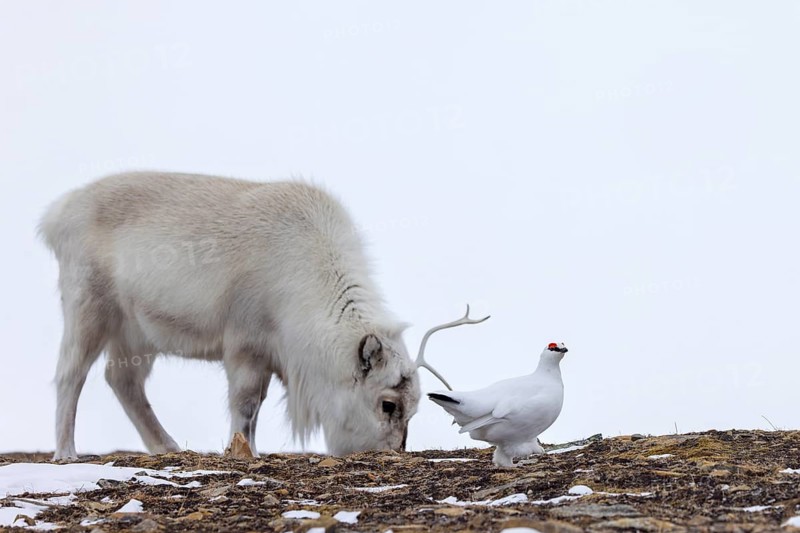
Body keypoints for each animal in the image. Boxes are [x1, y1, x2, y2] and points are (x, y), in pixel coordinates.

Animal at [39, 171, 488, 460]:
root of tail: (53, 217)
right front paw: (242, 453)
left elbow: (256, 411)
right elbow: (245, 405)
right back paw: (67, 453)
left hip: (137, 333)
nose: (392, 455)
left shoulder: (273, 356)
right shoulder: (245, 345)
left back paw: (166, 446)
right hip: (87, 305)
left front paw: (251, 449)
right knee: (70, 375)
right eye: (388, 404)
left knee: (122, 380)